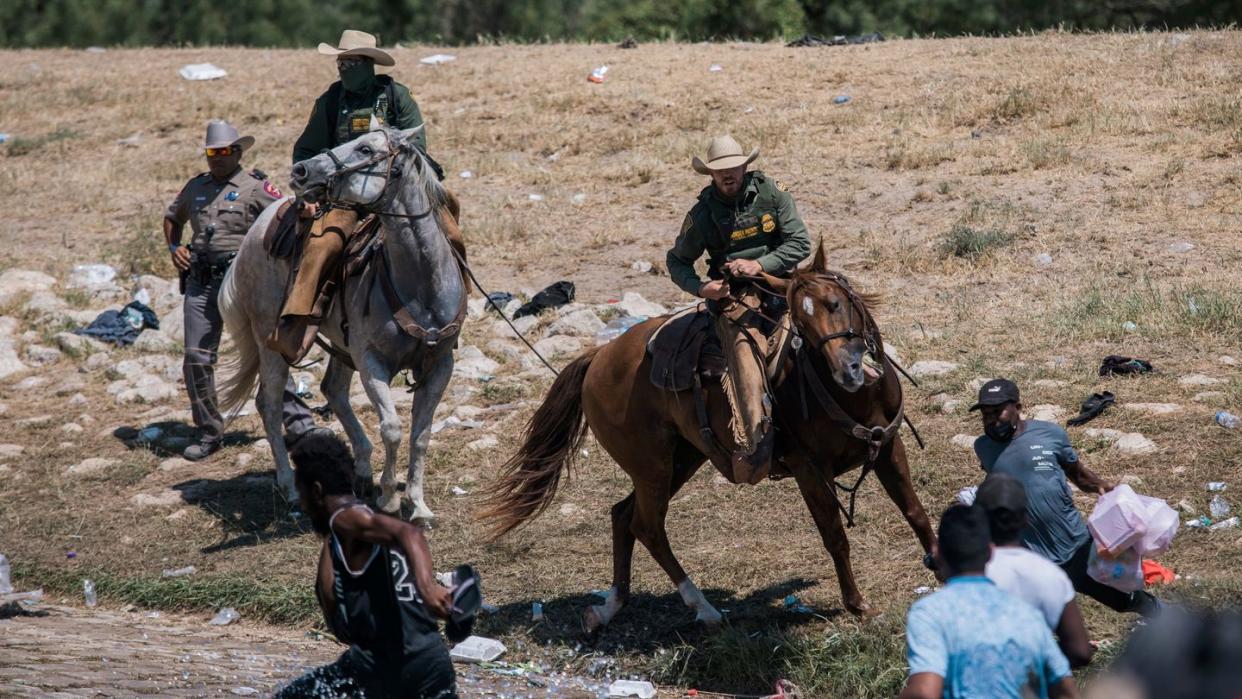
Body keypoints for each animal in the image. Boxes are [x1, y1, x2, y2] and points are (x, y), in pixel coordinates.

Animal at [216, 126, 464, 521]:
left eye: (364, 149)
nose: (301, 171)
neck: (420, 285)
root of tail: (256, 230)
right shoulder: (372, 362)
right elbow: (393, 428)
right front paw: (389, 499)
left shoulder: (441, 363)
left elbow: (421, 434)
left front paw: (419, 504)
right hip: (270, 342)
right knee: (269, 404)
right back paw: (289, 487)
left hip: (341, 344)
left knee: (332, 389)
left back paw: (361, 470)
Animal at [479, 245, 933, 635]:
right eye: (800, 324)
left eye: (836, 303)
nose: (849, 370)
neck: (852, 398)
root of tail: (599, 358)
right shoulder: (810, 471)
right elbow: (835, 536)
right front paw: (858, 605)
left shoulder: (889, 447)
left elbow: (915, 511)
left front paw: (937, 562)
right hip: (653, 467)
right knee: (647, 526)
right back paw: (703, 607)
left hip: (682, 459)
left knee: (622, 516)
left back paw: (609, 607)